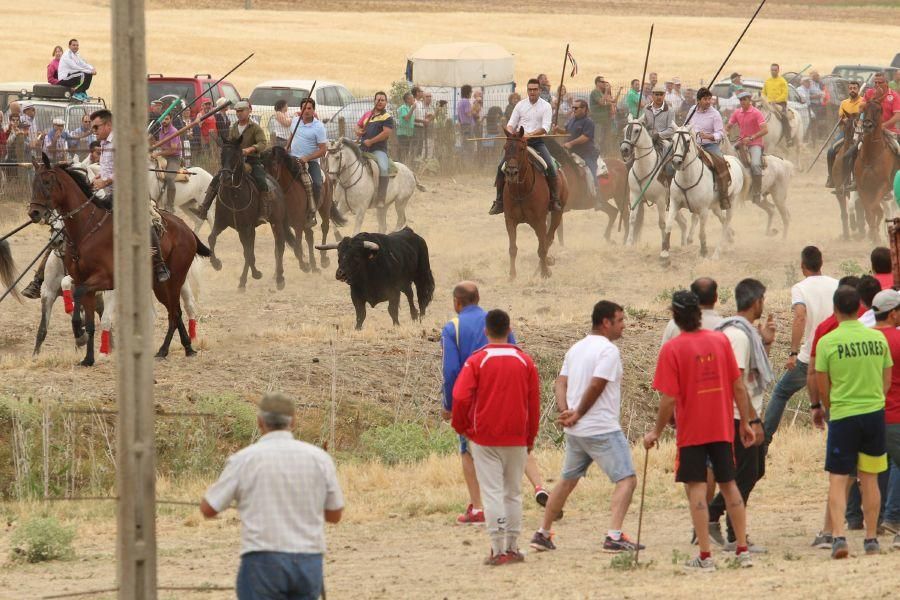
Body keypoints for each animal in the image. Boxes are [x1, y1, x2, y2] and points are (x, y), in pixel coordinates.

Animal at [23, 156, 210, 366]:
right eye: (34, 183)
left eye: (47, 182)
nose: (34, 213)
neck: (86, 231)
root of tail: (187, 229)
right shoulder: (82, 282)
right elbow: (88, 319)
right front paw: (87, 358)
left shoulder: (105, 280)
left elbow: (84, 303)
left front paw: (80, 335)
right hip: (159, 285)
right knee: (174, 312)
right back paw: (183, 347)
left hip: (174, 280)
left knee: (176, 311)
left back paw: (167, 349)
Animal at [502, 129, 568, 278]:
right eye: (505, 148)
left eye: (521, 148)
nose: (511, 172)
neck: (521, 190)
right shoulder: (510, 220)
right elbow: (512, 248)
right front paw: (512, 276)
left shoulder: (540, 220)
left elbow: (542, 247)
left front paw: (544, 272)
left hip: (557, 214)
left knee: (548, 239)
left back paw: (545, 265)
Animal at [620, 116, 688, 247]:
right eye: (625, 129)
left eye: (636, 130)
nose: (624, 150)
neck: (644, 167)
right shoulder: (634, 196)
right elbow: (632, 219)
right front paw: (629, 243)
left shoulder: (660, 200)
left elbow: (662, 223)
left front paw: (664, 243)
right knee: (683, 223)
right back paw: (685, 245)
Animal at [660, 126, 744, 260]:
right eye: (673, 140)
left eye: (687, 141)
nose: (676, 162)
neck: (687, 178)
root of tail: (734, 160)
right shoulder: (674, 203)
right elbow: (668, 225)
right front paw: (664, 252)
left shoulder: (703, 209)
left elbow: (702, 232)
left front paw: (703, 252)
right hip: (715, 206)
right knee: (723, 219)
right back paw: (730, 239)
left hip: (731, 201)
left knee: (726, 222)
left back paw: (717, 253)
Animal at [856, 97, 896, 240]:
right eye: (864, 109)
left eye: (878, 110)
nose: (867, 125)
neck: (871, 156)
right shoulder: (862, 188)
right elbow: (869, 211)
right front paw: (873, 235)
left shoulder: (883, 186)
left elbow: (874, 209)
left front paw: (875, 235)